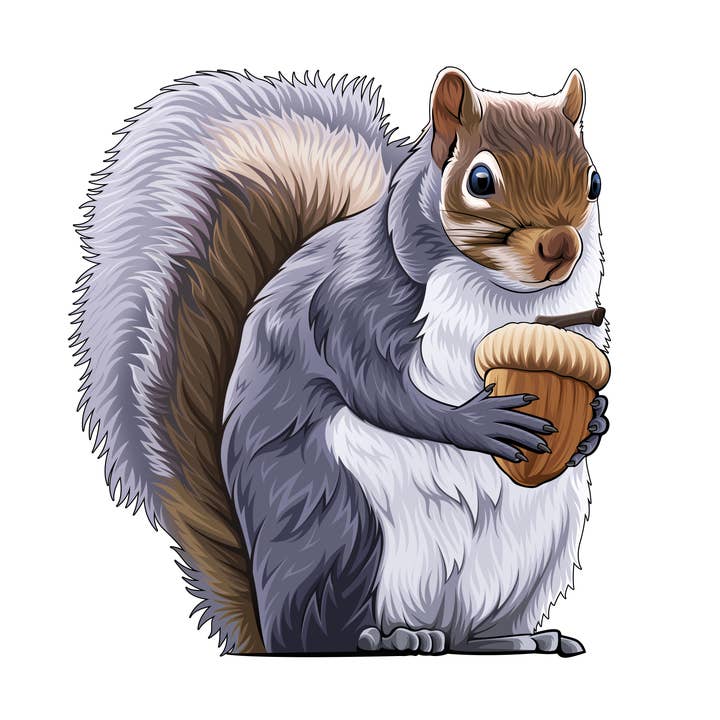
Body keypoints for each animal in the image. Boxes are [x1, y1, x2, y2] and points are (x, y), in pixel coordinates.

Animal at [73, 67, 609, 656]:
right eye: (480, 180)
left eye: (594, 182)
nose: (560, 246)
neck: (506, 295)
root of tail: (264, 618)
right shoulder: (348, 300)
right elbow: (372, 384)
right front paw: (477, 422)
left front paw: (593, 425)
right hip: (342, 522)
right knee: (317, 633)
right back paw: (387, 638)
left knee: (471, 634)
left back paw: (515, 640)